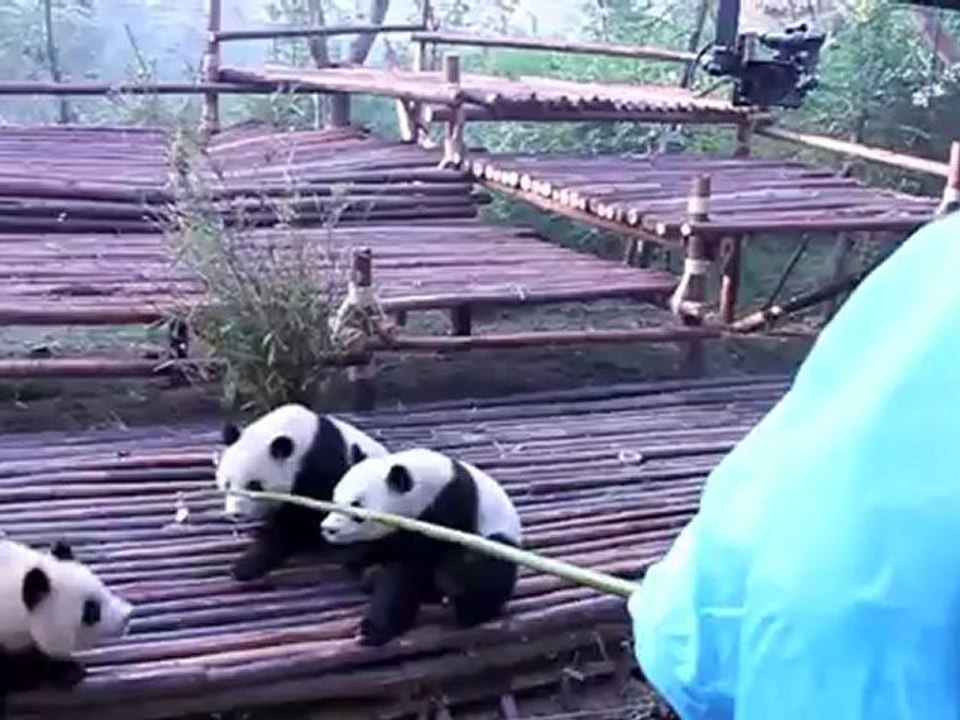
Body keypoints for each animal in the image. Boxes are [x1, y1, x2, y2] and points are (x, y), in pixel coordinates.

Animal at [216, 402, 389, 582]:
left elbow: (298, 522)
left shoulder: (319, 467)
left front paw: (247, 565)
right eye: (227, 483)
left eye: (254, 485)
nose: (236, 513)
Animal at [320, 447, 523, 647]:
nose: (328, 529)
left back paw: (471, 612)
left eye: (356, 505)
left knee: (494, 563)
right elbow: (397, 577)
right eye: (334, 500)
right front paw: (371, 630)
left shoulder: (450, 506)